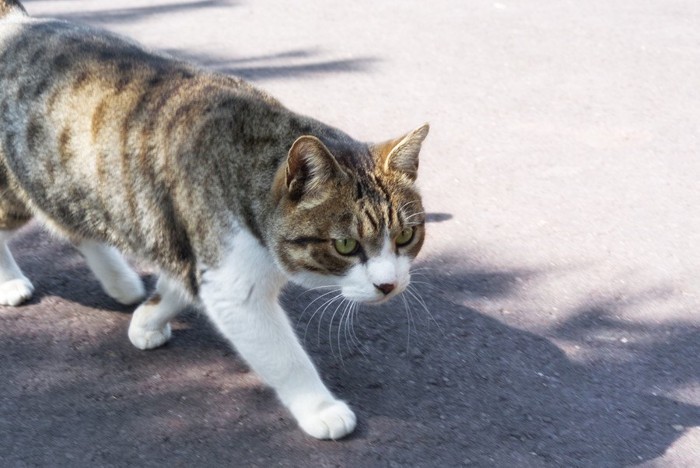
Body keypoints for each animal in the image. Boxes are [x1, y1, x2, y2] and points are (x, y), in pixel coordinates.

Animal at [0, 0, 426, 438]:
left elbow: (177, 288)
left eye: (406, 236)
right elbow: (284, 356)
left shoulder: (195, 253)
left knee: (78, 228)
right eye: (345, 245)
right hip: (18, 185)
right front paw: (321, 409)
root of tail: (15, 22)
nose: (389, 285)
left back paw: (120, 283)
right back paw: (13, 283)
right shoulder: (235, 288)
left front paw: (147, 320)